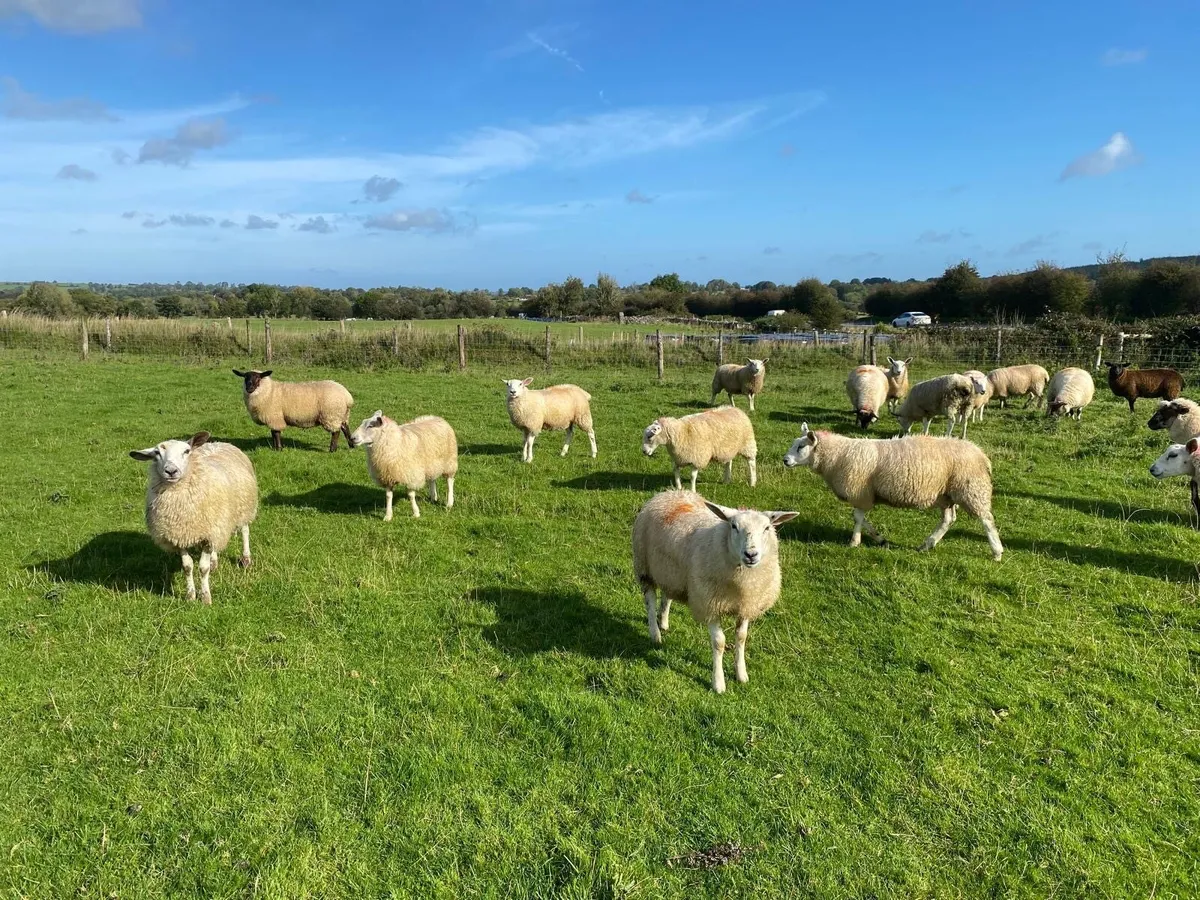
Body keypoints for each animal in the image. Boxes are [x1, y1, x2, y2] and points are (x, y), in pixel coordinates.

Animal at [129, 431, 258, 605]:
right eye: (156, 453)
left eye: (186, 451)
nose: (171, 471)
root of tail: (217, 443)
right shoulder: (179, 536)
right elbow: (187, 566)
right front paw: (190, 596)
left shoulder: (207, 535)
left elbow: (203, 568)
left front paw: (205, 598)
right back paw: (214, 561)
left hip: (244, 507)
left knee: (245, 530)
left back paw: (246, 559)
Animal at [632, 490, 798, 693]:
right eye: (734, 526)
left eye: (767, 528)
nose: (751, 554)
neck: (743, 579)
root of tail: (669, 493)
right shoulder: (709, 603)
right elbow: (719, 642)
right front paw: (718, 683)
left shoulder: (747, 603)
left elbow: (741, 637)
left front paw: (741, 674)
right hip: (644, 568)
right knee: (650, 601)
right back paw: (655, 633)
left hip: (670, 572)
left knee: (667, 595)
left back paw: (663, 622)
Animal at [782, 423, 1003, 560]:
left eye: (801, 446)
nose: (785, 460)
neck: (838, 455)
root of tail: (980, 453)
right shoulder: (865, 495)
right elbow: (860, 518)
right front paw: (880, 539)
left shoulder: (860, 492)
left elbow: (857, 518)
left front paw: (855, 542)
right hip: (945, 494)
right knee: (948, 519)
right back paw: (927, 544)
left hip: (971, 489)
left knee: (986, 520)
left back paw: (997, 551)